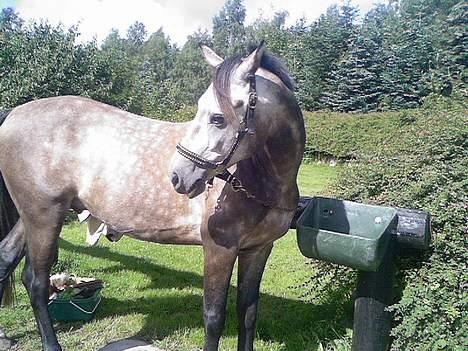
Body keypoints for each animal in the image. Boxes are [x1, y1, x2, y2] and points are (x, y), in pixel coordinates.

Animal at [0, 44, 306, 351]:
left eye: (217, 118)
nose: (178, 176)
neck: (257, 182)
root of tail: (13, 115)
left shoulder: (258, 250)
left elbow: (248, 312)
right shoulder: (219, 249)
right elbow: (214, 317)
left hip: (35, 216)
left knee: (6, 258)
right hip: (44, 217)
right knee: (36, 282)